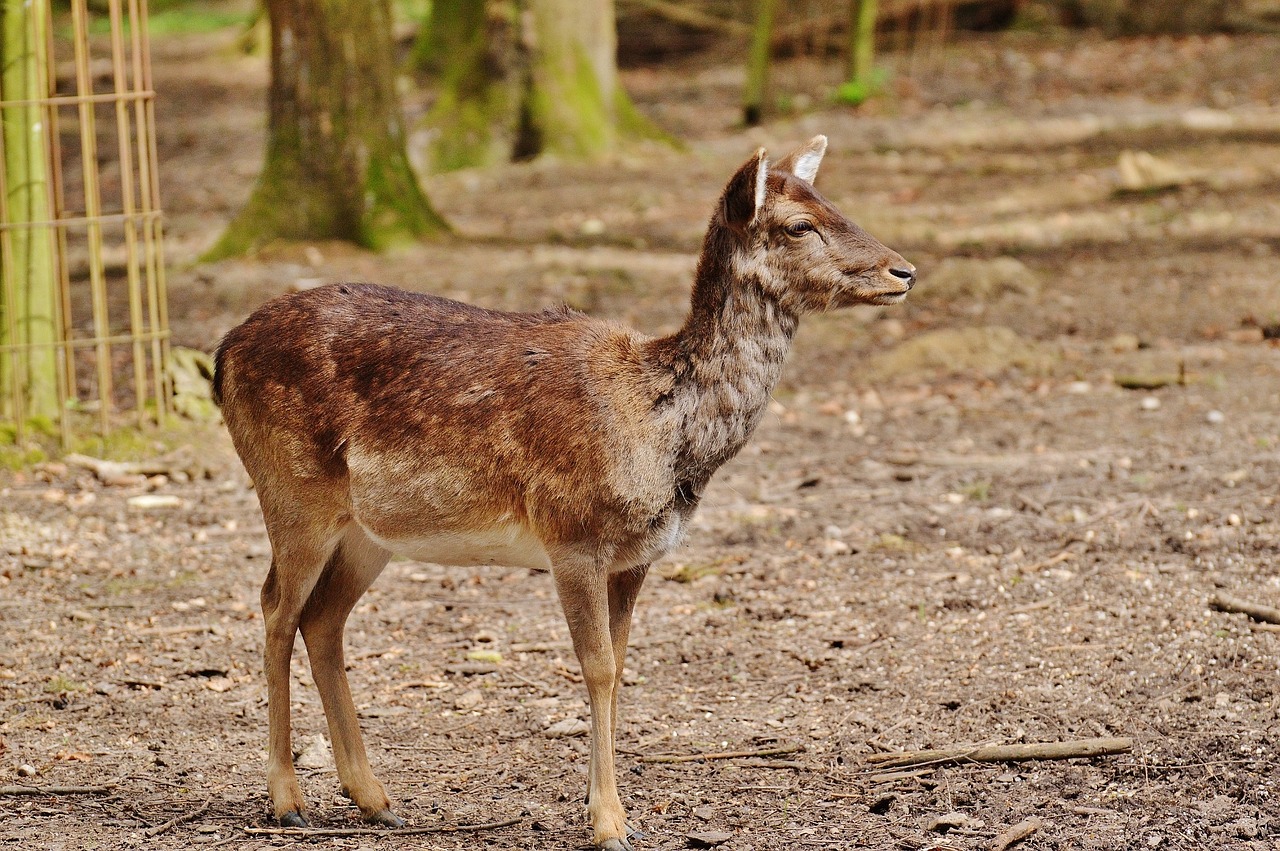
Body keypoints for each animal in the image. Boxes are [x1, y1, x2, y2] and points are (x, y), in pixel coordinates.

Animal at [212, 136, 911, 844]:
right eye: (799, 225)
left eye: (833, 202)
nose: (903, 271)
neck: (663, 436)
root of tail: (221, 356)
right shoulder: (573, 533)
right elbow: (596, 665)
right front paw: (609, 823)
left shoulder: (637, 556)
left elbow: (622, 665)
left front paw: (605, 808)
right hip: (292, 489)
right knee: (275, 608)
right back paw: (287, 799)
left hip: (368, 532)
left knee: (323, 618)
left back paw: (376, 798)